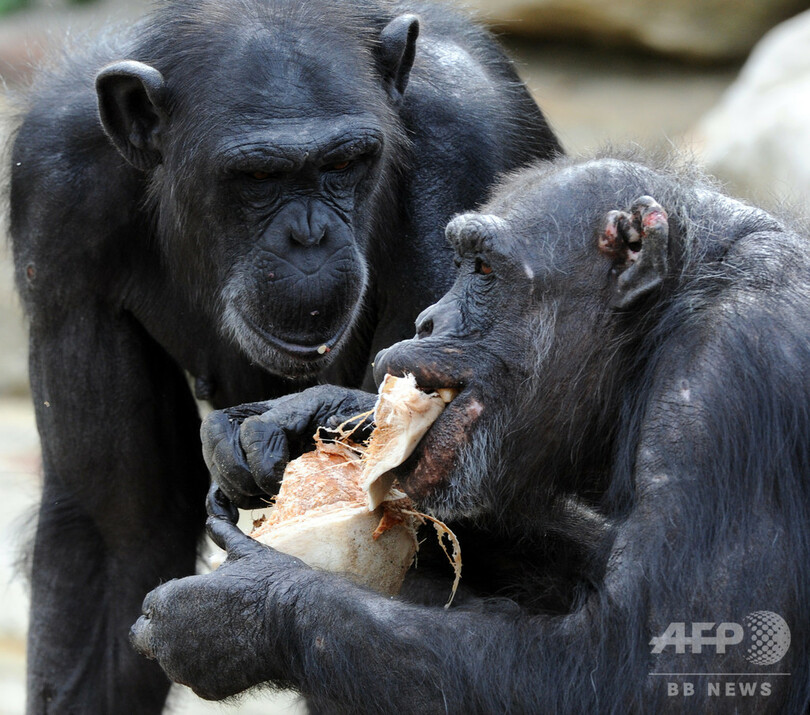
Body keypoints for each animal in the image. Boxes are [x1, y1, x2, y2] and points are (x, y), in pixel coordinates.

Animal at [7, 0, 560, 708]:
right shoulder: (56, 196)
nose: (309, 236)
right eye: (258, 176)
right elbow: (116, 532)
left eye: (345, 164)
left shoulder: (471, 142)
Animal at [131, 158, 808, 715]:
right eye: (459, 264)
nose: (430, 318)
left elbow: (639, 671)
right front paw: (304, 415)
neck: (664, 319)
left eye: (482, 269)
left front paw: (232, 613)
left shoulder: (731, 377)